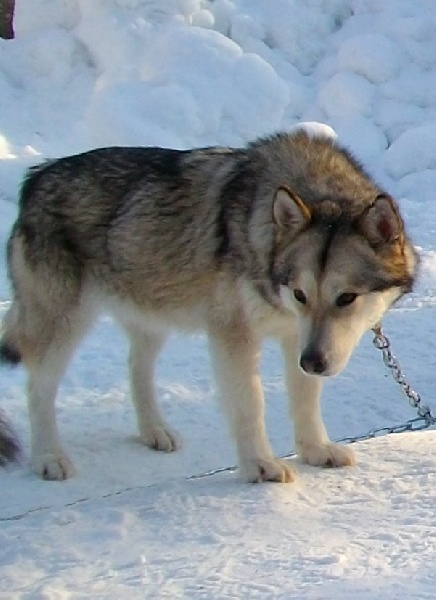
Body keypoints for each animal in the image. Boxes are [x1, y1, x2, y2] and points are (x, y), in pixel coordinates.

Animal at [0, 130, 416, 482]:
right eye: (301, 294)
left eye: (346, 298)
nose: (313, 362)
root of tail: (36, 176)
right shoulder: (235, 335)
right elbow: (251, 404)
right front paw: (260, 466)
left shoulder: (296, 337)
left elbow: (305, 398)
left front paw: (316, 450)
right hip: (63, 325)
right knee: (38, 389)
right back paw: (48, 458)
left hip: (151, 314)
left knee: (136, 367)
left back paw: (154, 431)